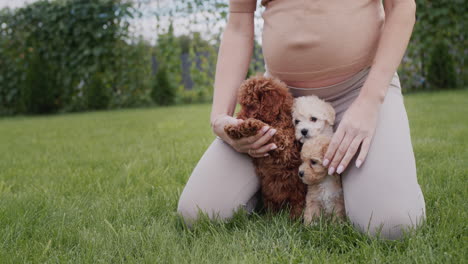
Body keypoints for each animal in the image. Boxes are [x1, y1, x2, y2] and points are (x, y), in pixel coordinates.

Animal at [224, 76, 308, 219]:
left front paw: (250, 124)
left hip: (298, 199)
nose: (238, 118)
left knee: (296, 209)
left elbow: (268, 129)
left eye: (250, 106)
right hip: (269, 198)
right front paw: (232, 128)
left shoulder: (285, 147)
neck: (277, 119)